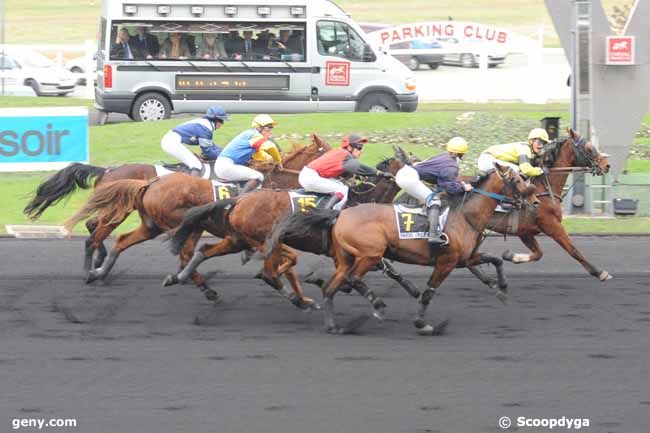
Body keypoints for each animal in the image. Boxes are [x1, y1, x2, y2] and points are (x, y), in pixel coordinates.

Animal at [62, 137, 330, 298]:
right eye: (327, 150)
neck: (274, 183)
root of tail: (108, 170)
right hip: (133, 214)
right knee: (96, 232)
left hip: (149, 223)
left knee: (105, 233)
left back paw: (99, 269)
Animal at [165, 148, 412, 308]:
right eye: (413, 161)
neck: (359, 201)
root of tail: (240, 200)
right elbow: (377, 269)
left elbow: (386, 269)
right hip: (258, 240)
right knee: (267, 272)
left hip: (237, 238)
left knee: (202, 252)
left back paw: (182, 278)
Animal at [260, 164, 536, 332]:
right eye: (518, 179)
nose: (534, 201)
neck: (465, 215)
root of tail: (340, 214)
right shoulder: (446, 262)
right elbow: (429, 292)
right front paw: (421, 323)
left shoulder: (465, 258)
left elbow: (495, 260)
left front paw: (502, 289)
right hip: (370, 254)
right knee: (352, 278)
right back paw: (378, 306)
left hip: (347, 257)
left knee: (331, 287)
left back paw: (334, 325)